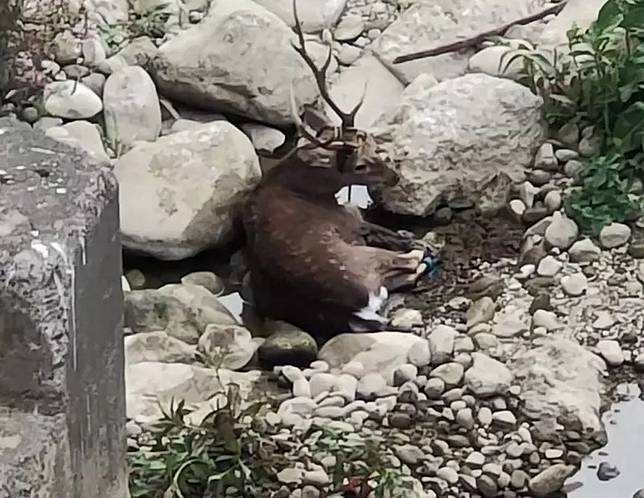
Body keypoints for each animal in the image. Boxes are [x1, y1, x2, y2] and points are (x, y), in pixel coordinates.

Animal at [239, 0, 440, 338]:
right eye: (359, 163)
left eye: (369, 138)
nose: (394, 177)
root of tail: (348, 308)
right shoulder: (351, 219)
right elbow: (399, 239)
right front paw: (414, 238)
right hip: (362, 261)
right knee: (412, 262)